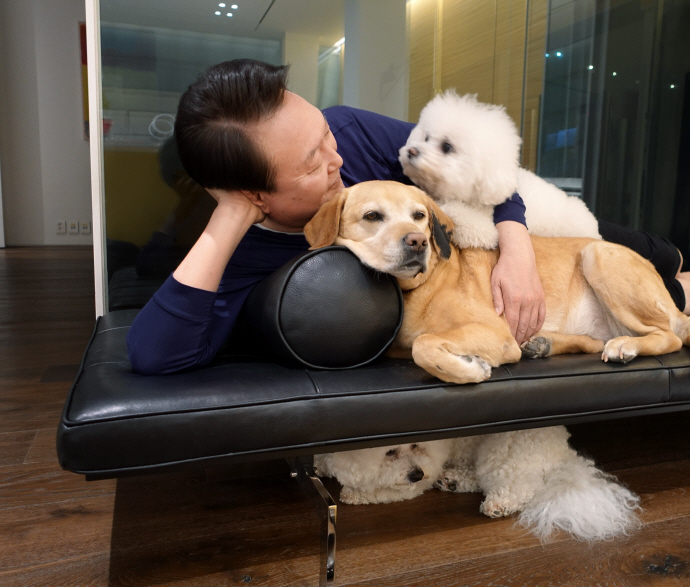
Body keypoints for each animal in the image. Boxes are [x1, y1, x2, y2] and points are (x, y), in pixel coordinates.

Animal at [304, 181, 688, 388]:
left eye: (419, 216)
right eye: (372, 216)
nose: (417, 242)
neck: (419, 288)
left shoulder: (496, 334)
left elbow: (424, 345)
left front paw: (468, 369)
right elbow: (420, 344)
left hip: (599, 255)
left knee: (667, 336)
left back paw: (627, 346)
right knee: (594, 342)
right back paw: (543, 343)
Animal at [314, 424, 636, 544]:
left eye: (416, 445)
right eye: (391, 451)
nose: (418, 474)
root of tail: (563, 450)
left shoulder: (415, 479)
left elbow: (381, 490)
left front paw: (353, 493)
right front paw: (319, 464)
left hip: (501, 453)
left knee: (521, 487)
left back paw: (497, 503)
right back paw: (452, 480)